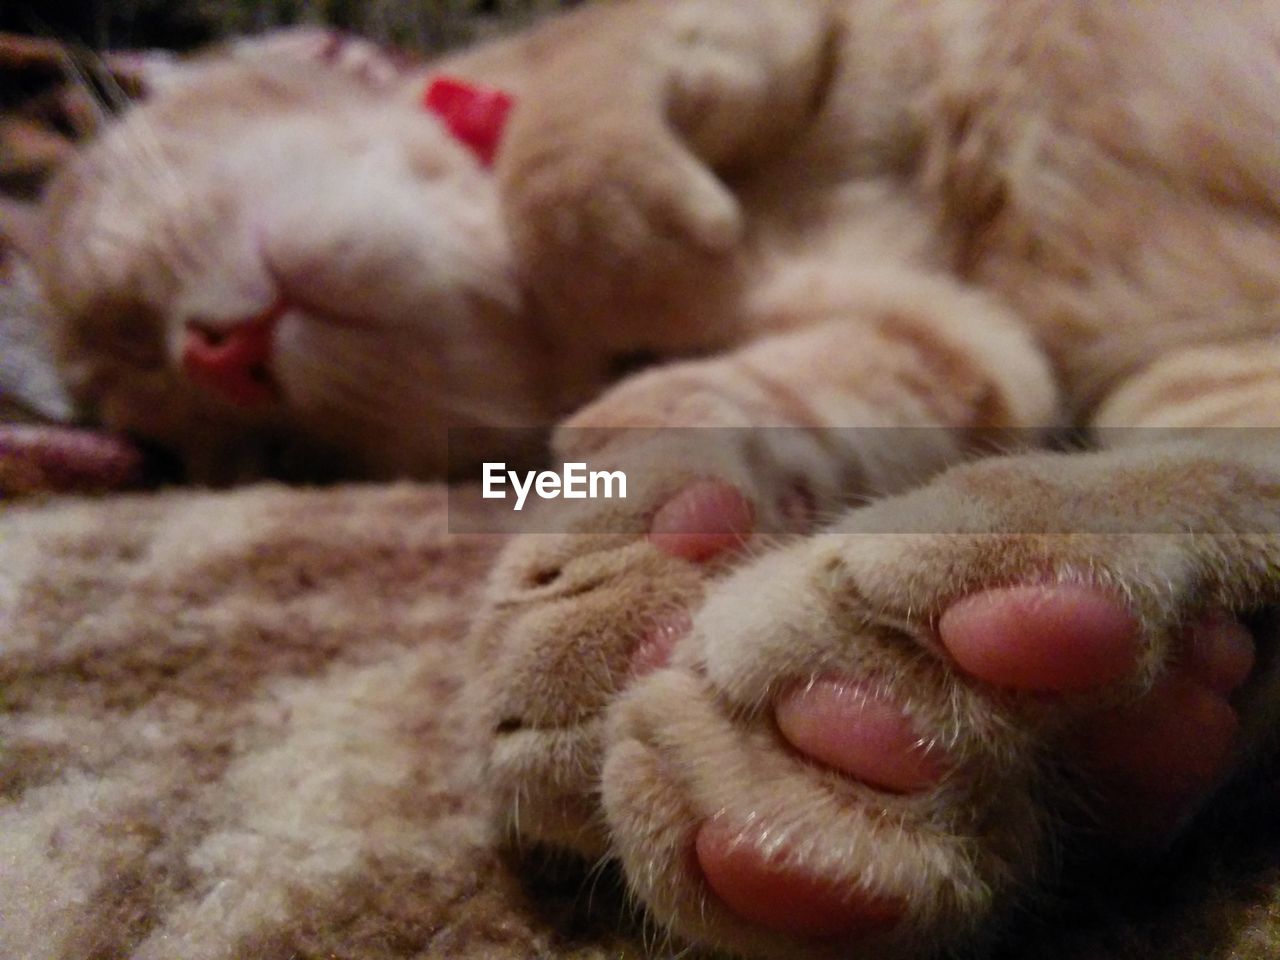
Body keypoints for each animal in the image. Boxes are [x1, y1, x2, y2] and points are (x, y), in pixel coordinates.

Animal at [7, 1, 1280, 960]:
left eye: (140, 275)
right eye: (280, 458)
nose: (214, 355)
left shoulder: (724, 30)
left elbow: (569, 158)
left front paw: (650, 250)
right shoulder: (943, 342)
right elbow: (730, 395)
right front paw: (625, 566)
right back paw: (997, 715)